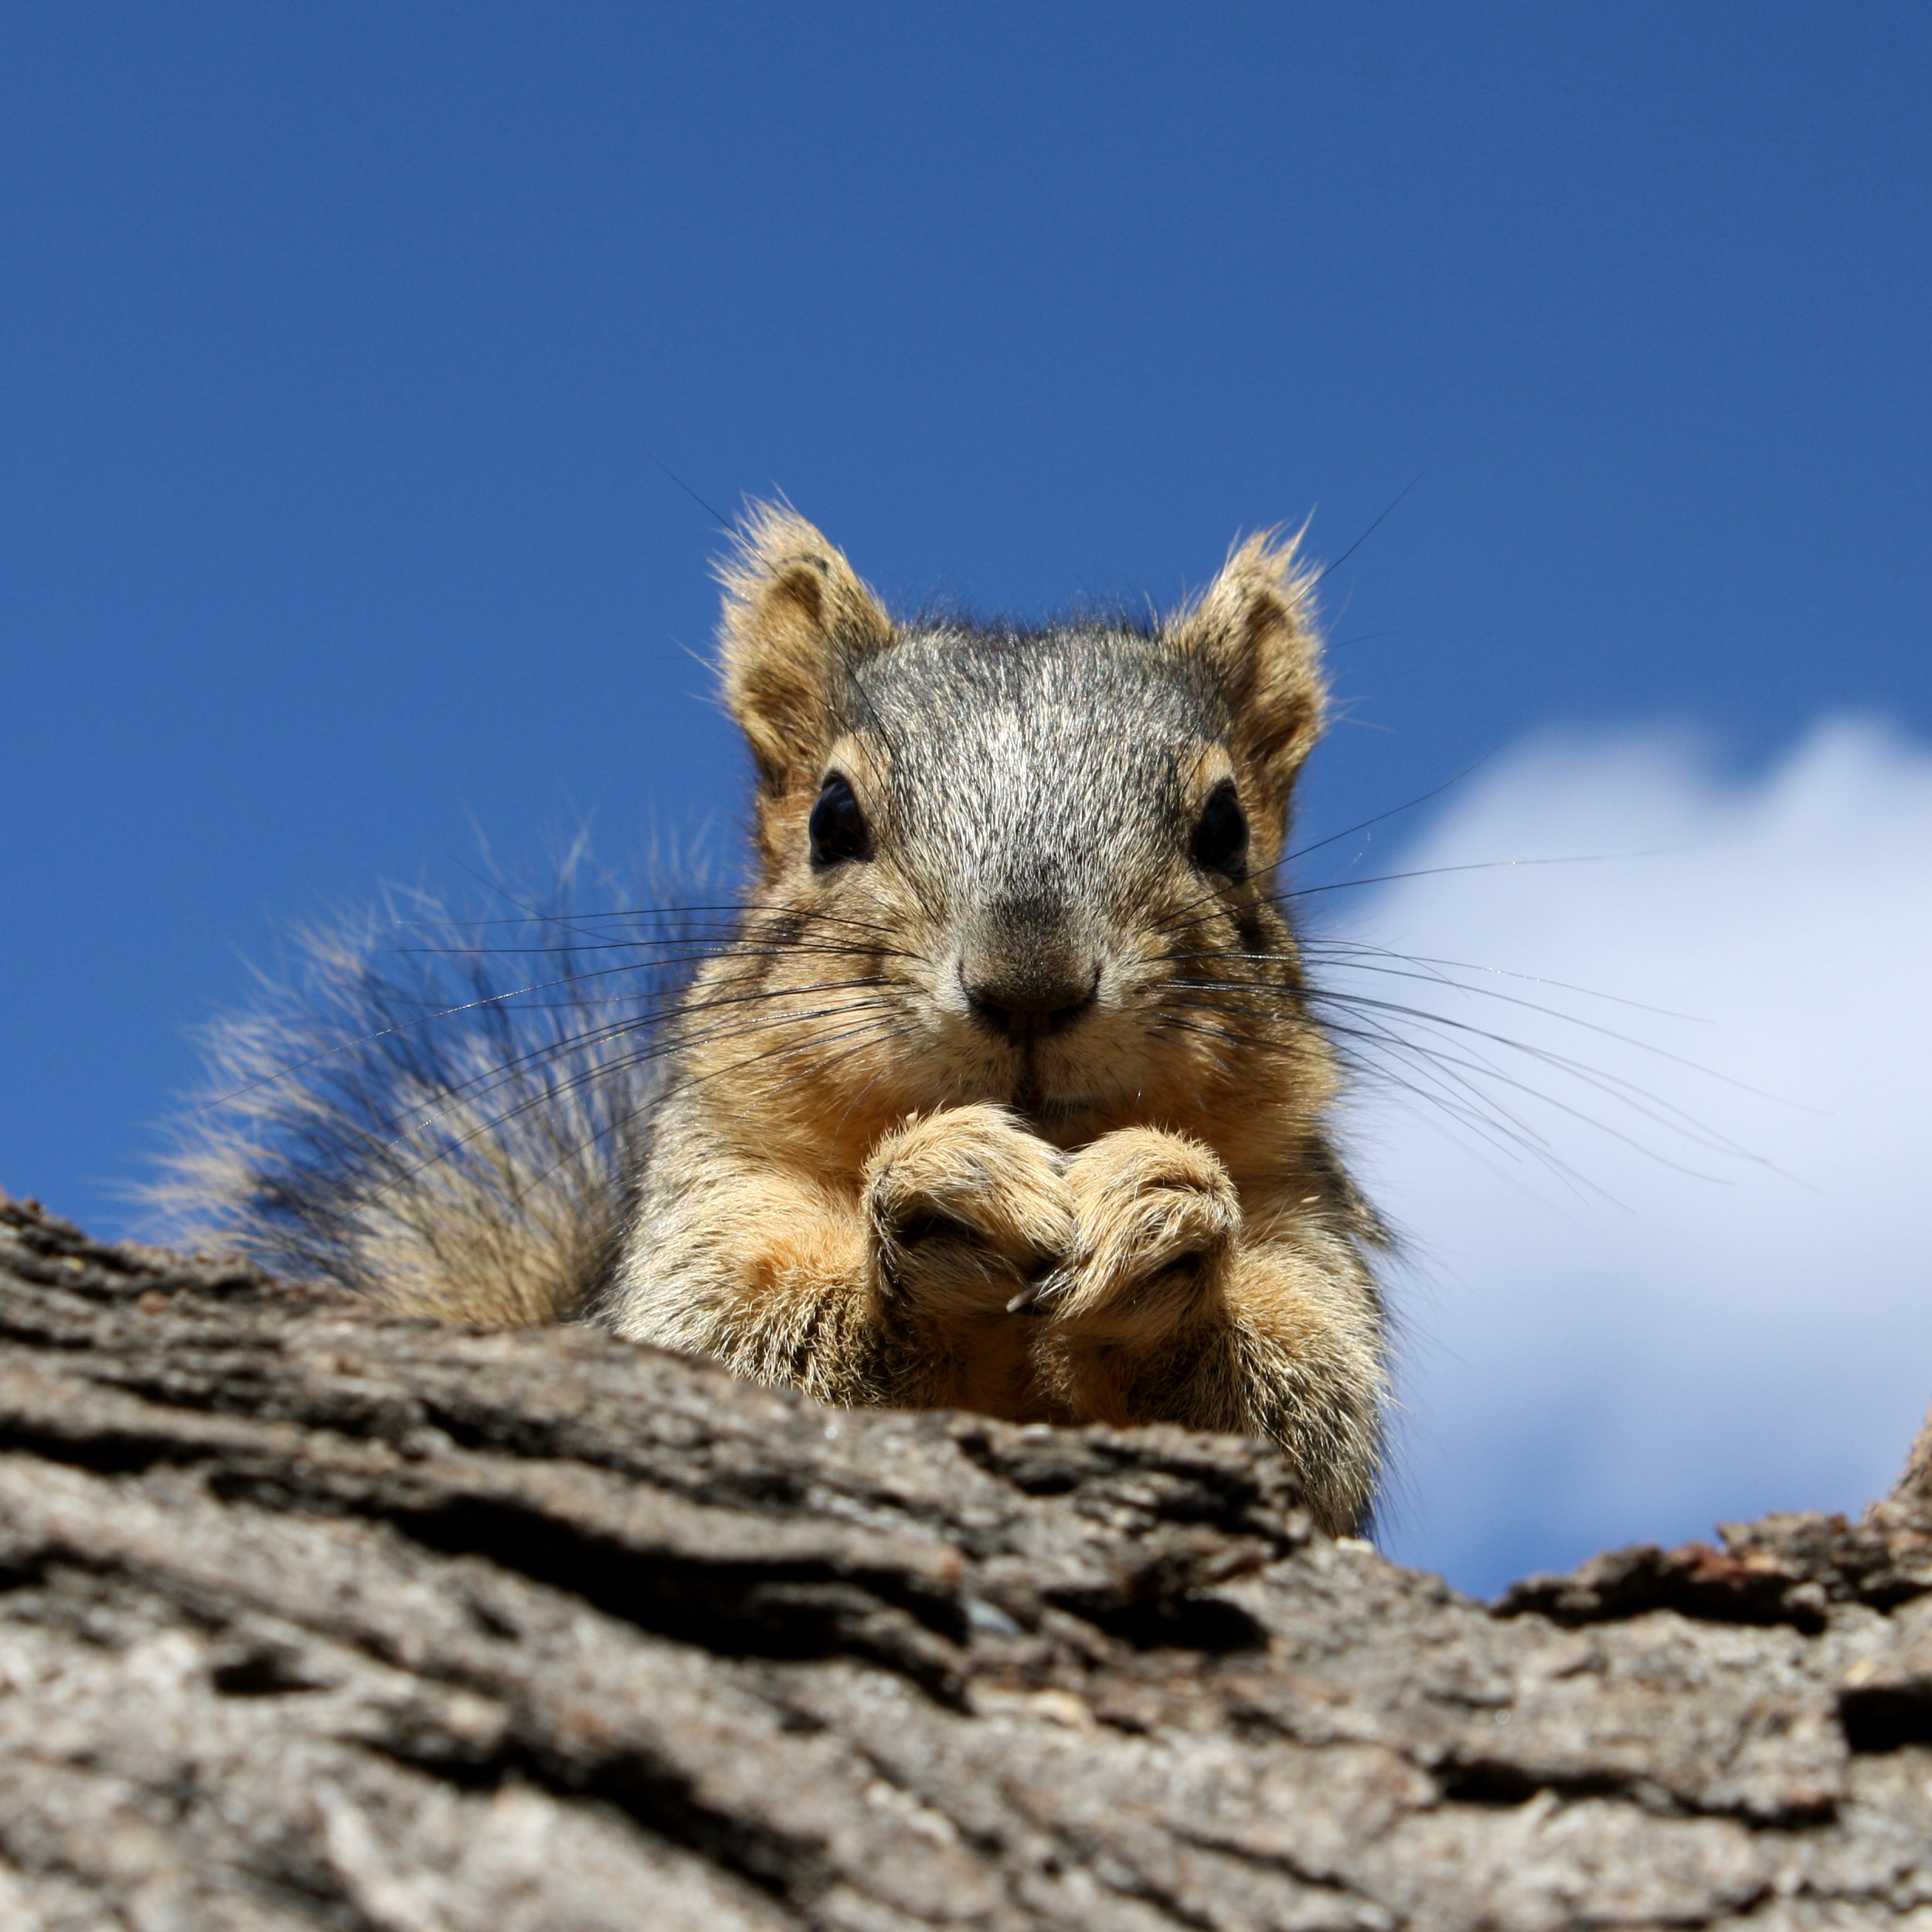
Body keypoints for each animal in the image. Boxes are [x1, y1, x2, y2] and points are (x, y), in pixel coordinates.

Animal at [155, 506, 1391, 1530]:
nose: (1029, 985)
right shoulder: (710, 1196)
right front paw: (937, 1192)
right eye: (831, 818)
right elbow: (734, 1349)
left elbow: (1306, 1411)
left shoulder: (1301, 1214)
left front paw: (1159, 1207)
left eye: (1226, 830)